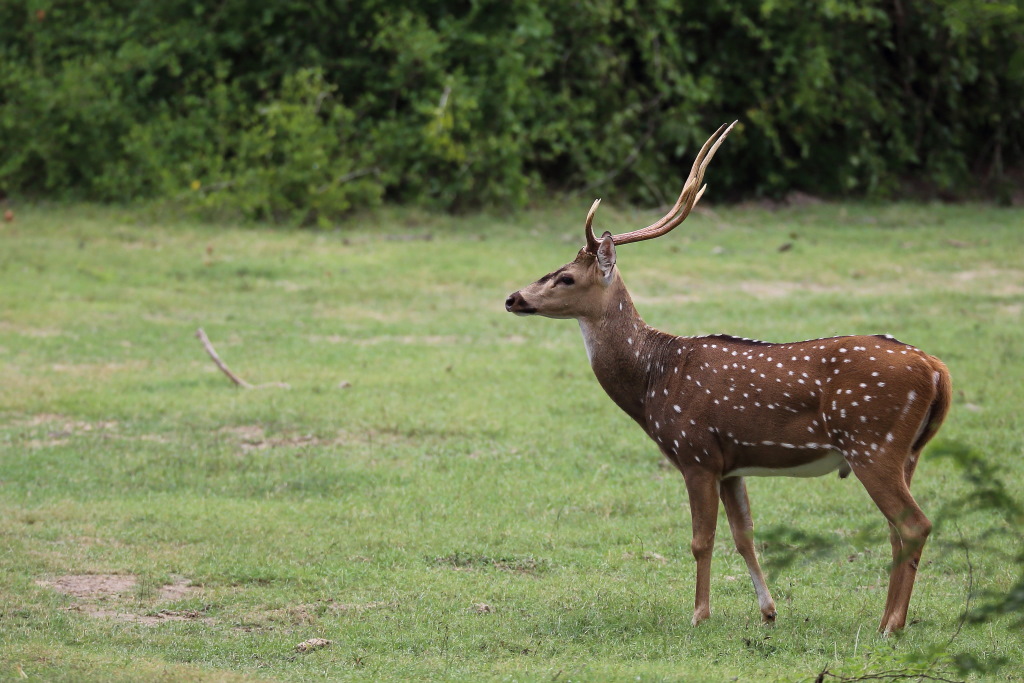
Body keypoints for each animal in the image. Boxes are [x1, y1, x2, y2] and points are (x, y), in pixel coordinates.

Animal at [504, 122, 952, 634]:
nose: (513, 298)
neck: (653, 383)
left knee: (914, 524)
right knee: (898, 531)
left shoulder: (695, 452)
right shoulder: (731, 462)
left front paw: (699, 614)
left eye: (565, 278)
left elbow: (702, 540)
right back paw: (885, 621)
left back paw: (892, 626)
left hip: (872, 442)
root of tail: (936, 370)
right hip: (907, 451)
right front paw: (768, 611)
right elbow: (745, 536)